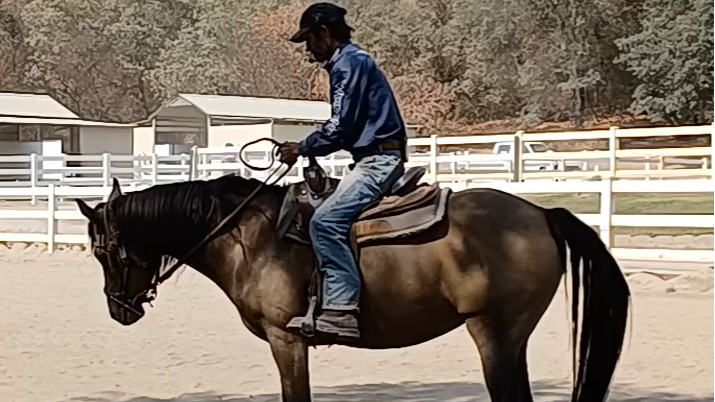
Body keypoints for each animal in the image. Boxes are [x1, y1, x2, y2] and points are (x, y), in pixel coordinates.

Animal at [75, 167, 630, 402]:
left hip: (494, 334)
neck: (251, 236)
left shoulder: (287, 339)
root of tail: (541, 213)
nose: (119, 309)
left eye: (103, 252)